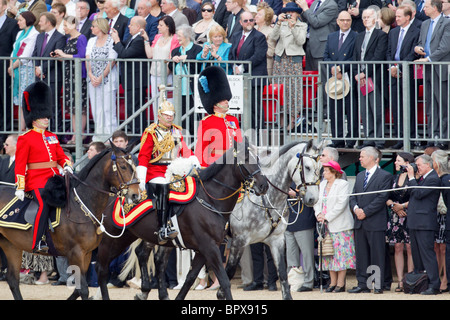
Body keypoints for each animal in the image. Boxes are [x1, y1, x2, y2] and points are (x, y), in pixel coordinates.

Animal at [0, 145, 140, 300]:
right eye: (123, 166)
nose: (136, 195)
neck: (81, 205)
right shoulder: (76, 253)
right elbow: (83, 289)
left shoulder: (86, 254)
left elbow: (78, 289)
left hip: (11, 245)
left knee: (13, 280)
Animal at [94, 138, 268, 300]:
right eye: (246, 158)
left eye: (258, 158)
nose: (264, 185)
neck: (210, 200)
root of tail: (113, 193)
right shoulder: (210, 247)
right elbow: (224, 280)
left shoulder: (204, 249)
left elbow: (190, 278)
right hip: (111, 240)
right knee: (102, 268)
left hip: (133, 237)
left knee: (146, 257)